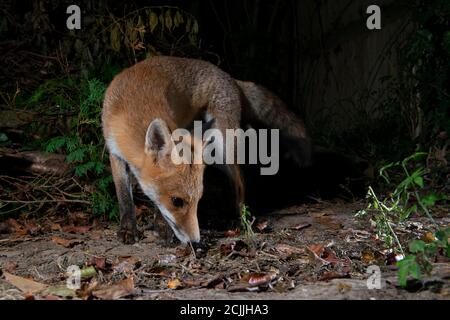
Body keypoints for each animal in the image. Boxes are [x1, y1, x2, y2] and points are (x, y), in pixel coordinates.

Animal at [102, 55, 312, 245]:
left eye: (198, 200)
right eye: (177, 201)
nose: (195, 241)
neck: (131, 108)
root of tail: (229, 77)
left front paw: (162, 228)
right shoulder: (114, 153)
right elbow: (124, 196)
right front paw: (128, 229)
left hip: (223, 147)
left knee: (240, 180)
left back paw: (239, 219)